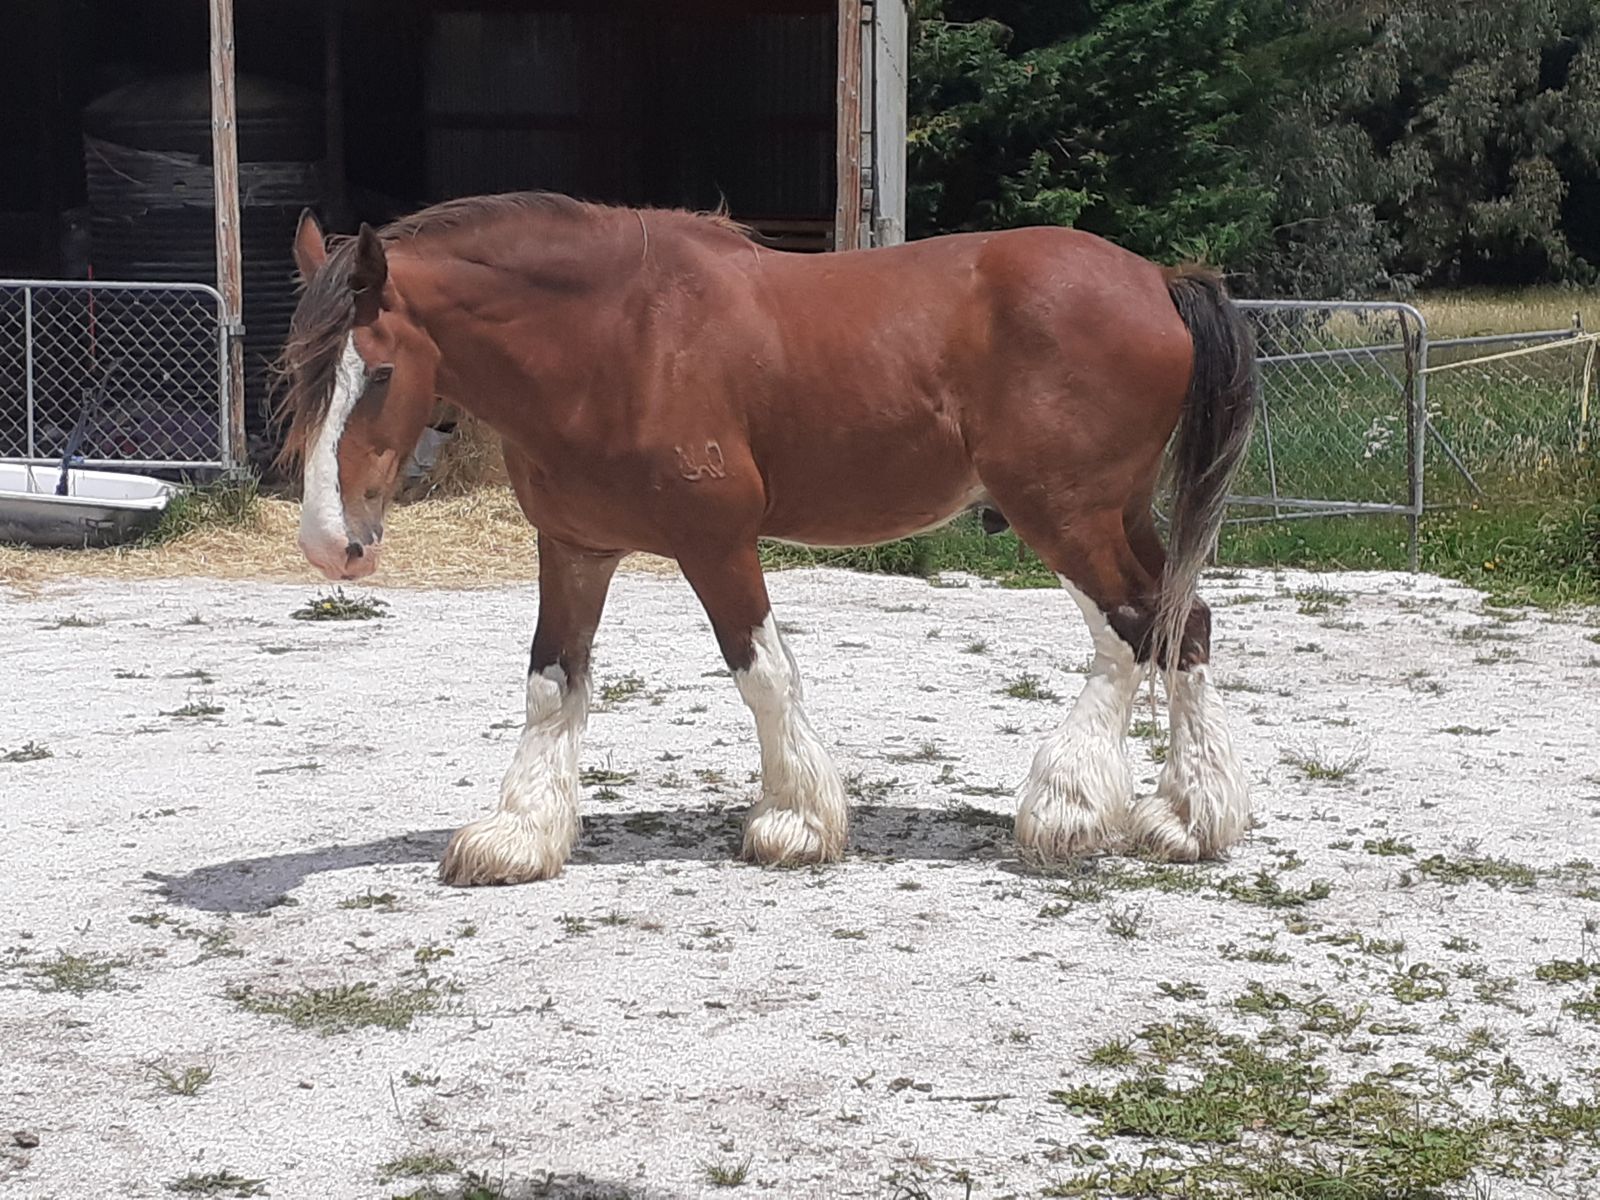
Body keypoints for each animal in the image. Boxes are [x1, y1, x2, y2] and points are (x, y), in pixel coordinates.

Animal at [278, 192, 1256, 887]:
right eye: (295, 373)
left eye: (382, 373)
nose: (331, 543)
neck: (618, 341)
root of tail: (1157, 280)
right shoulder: (574, 548)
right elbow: (553, 685)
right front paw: (520, 835)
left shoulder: (717, 542)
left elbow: (762, 672)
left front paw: (796, 822)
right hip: (1117, 512)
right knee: (1185, 626)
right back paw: (1187, 820)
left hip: (1063, 513)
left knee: (1129, 635)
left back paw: (1069, 807)